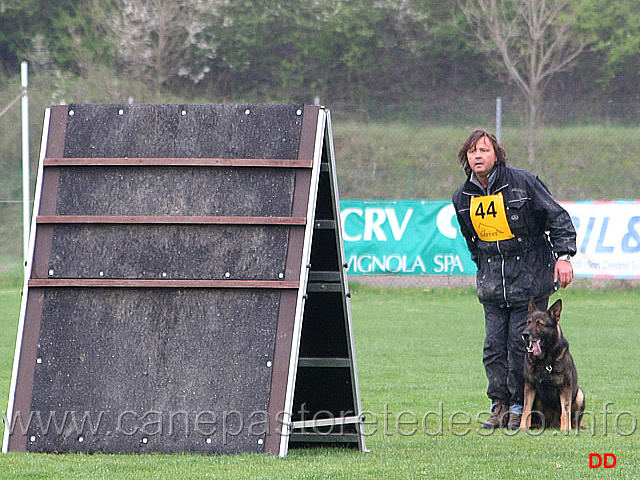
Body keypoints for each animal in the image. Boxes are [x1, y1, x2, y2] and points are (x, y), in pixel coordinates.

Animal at [520, 298, 584, 430]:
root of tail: (552, 425)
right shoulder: (529, 386)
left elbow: (565, 410)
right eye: (528, 322)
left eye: (540, 323)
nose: (525, 334)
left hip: (580, 394)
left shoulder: (565, 387)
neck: (544, 360)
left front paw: (565, 429)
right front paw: (522, 428)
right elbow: (526, 409)